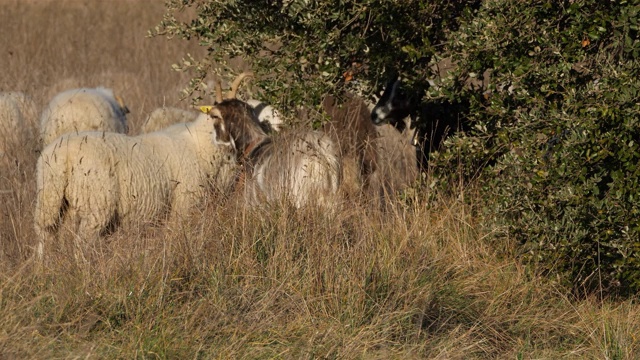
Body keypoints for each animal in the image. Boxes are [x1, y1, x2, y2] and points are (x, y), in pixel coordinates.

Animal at [33, 109, 238, 262]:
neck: (199, 146)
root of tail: (63, 154)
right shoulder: (184, 206)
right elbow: (179, 236)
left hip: (52, 200)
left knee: (47, 235)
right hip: (95, 206)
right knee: (81, 244)